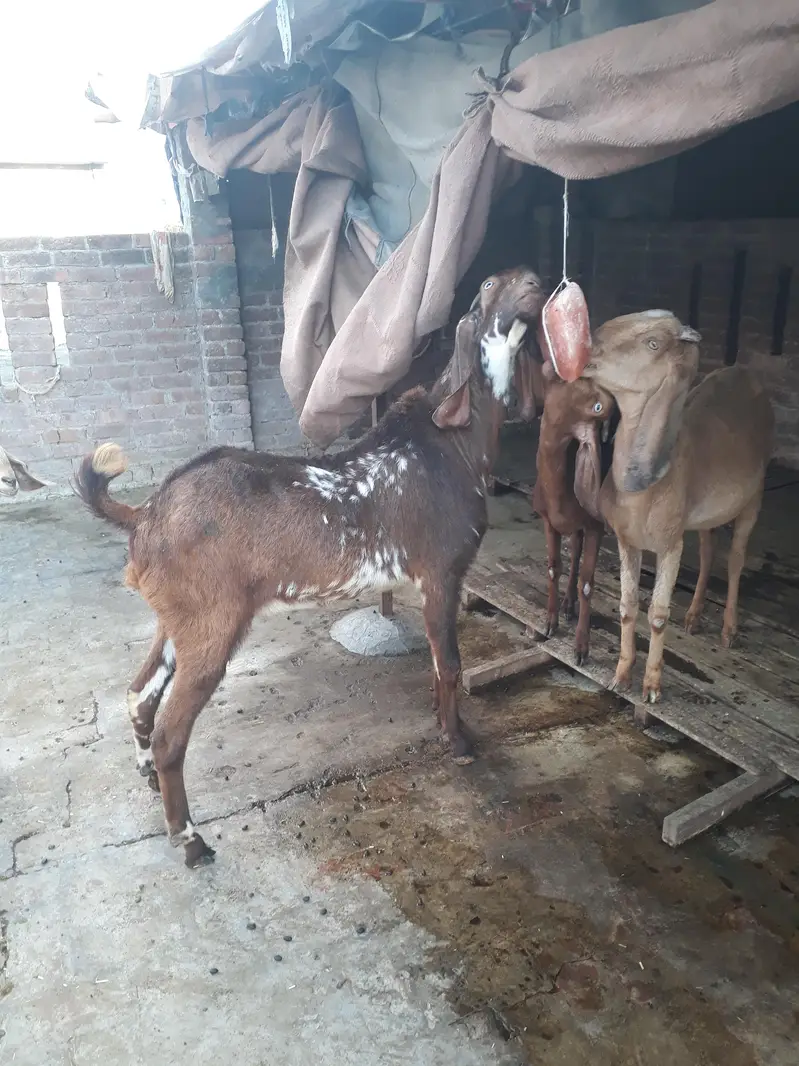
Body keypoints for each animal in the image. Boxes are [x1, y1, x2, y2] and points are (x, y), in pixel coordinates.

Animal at [74, 267, 545, 867]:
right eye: (487, 285)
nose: (533, 281)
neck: (454, 442)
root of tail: (145, 514)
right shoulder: (441, 573)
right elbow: (450, 665)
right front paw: (458, 742)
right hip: (211, 623)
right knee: (170, 733)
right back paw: (191, 840)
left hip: (176, 618)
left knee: (139, 694)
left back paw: (151, 784)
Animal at [532, 365, 615, 664]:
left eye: (598, 406)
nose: (549, 367)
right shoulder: (548, 521)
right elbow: (554, 568)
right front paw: (550, 622)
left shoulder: (595, 527)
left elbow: (587, 584)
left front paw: (581, 648)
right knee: (575, 551)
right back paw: (568, 604)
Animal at [572, 311, 773, 702]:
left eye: (653, 343)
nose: (588, 346)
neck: (644, 489)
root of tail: (746, 371)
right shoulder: (627, 539)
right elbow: (627, 607)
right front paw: (621, 676)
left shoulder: (669, 543)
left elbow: (658, 614)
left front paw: (651, 686)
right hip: (708, 514)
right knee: (709, 551)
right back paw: (694, 616)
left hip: (754, 497)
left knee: (736, 559)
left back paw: (728, 629)